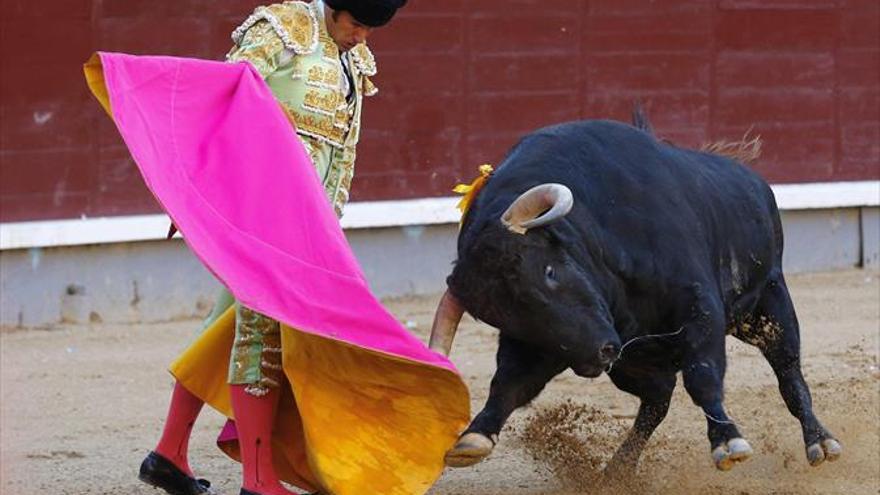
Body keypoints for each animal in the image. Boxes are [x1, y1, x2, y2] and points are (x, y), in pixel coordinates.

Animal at [430, 117, 844, 476]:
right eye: (505, 315)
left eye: (548, 272)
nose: (600, 353)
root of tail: (749, 177)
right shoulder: (541, 345)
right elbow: (510, 382)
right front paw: (473, 438)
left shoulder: (700, 307)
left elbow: (703, 375)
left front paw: (728, 443)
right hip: (638, 362)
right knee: (655, 404)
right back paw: (617, 471)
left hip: (768, 307)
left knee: (789, 374)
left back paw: (820, 443)